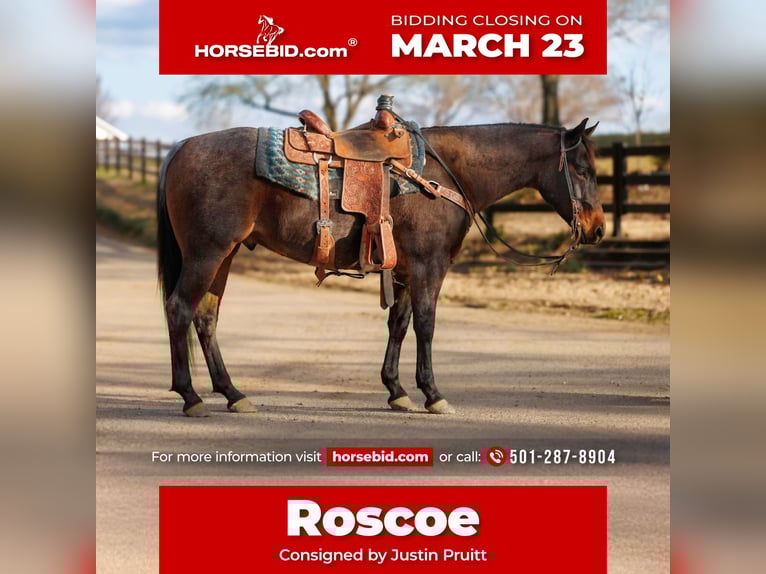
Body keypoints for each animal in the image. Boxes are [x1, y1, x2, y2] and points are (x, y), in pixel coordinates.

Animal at [156, 119, 604, 417]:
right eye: (582, 170)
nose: (598, 229)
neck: (444, 176)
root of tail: (181, 147)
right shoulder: (428, 267)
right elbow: (426, 325)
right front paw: (433, 393)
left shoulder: (406, 271)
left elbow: (399, 325)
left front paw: (396, 390)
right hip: (207, 254)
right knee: (180, 309)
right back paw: (191, 396)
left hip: (224, 256)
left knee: (206, 318)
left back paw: (232, 394)